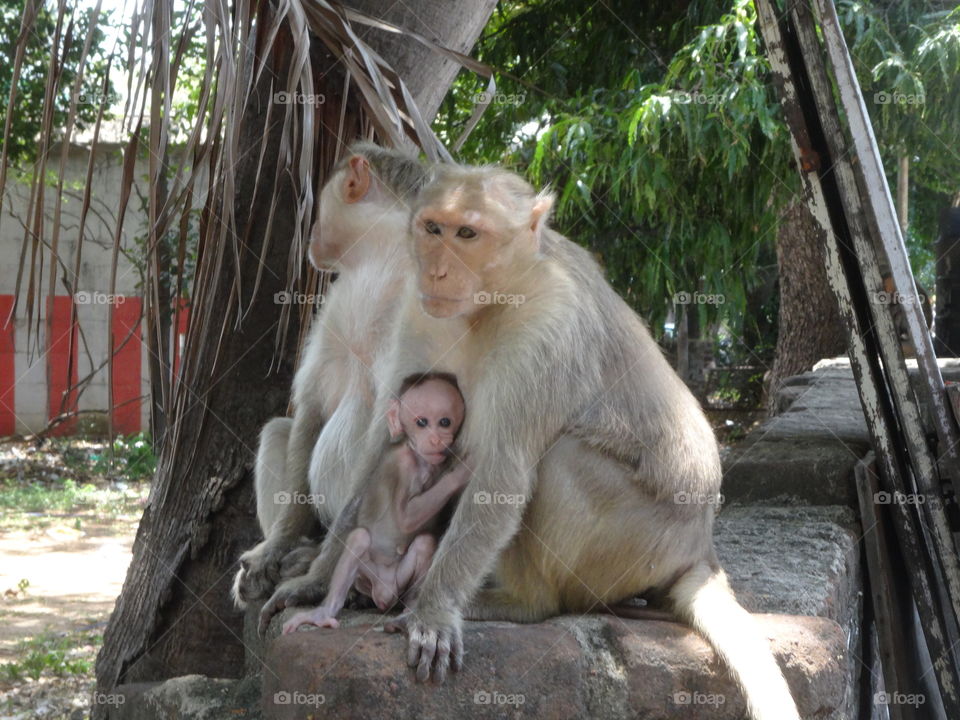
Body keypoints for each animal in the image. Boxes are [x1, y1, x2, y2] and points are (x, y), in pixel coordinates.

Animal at [231, 143, 431, 607]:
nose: (312, 233)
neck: (382, 261)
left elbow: (392, 435)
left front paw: (316, 581)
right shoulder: (338, 302)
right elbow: (311, 408)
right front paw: (276, 547)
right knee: (280, 432)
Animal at [282, 372, 469, 633]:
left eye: (445, 422)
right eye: (421, 422)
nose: (435, 439)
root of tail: (383, 595)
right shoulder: (402, 465)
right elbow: (405, 517)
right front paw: (459, 474)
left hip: (398, 582)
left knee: (424, 543)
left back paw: (410, 608)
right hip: (366, 579)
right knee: (359, 538)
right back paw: (325, 611)